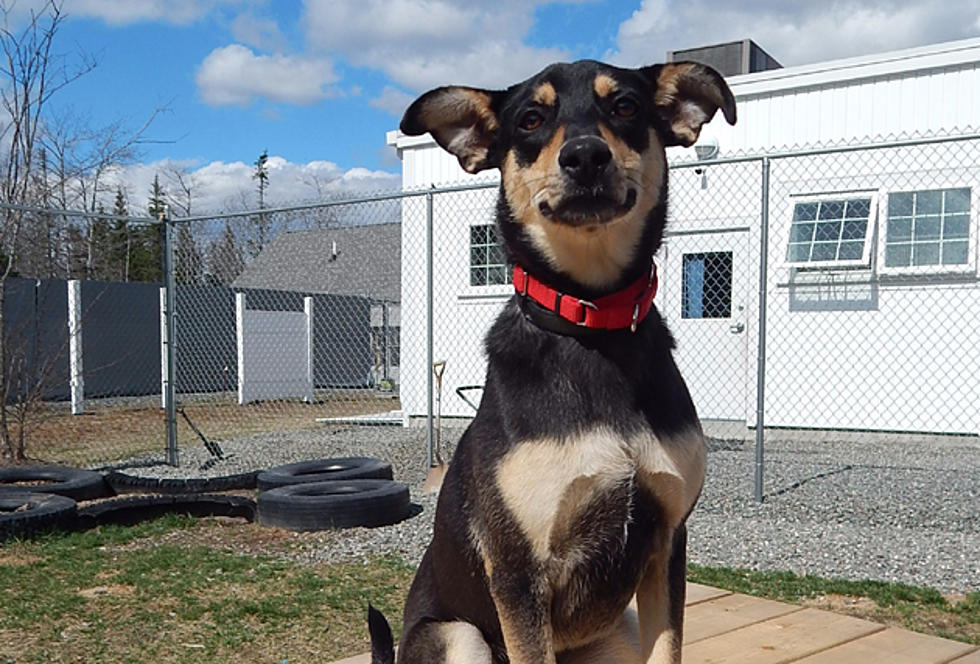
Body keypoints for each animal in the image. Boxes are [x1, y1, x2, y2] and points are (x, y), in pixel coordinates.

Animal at [370, 58, 736, 664]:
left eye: (625, 106)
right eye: (531, 119)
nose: (585, 156)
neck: (593, 323)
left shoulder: (666, 544)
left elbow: (669, 648)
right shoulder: (518, 572)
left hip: (618, 631)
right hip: (459, 635)